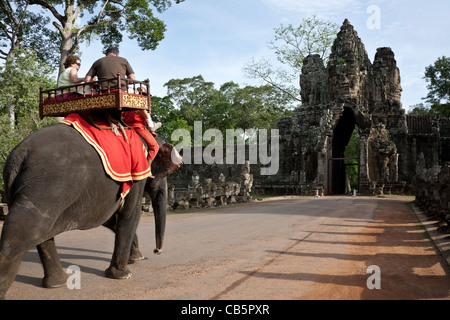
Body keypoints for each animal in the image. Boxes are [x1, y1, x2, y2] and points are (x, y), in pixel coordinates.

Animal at [0, 119, 183, 298]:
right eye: (166, 174)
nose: (156, 251)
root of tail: (18, 155)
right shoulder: (137, 174)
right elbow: (130, 213)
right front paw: (123, 274)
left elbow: (110, 218)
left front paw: (136, 258)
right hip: (45, 188)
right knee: (22, 232)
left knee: (41, 232)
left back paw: (57, 283)